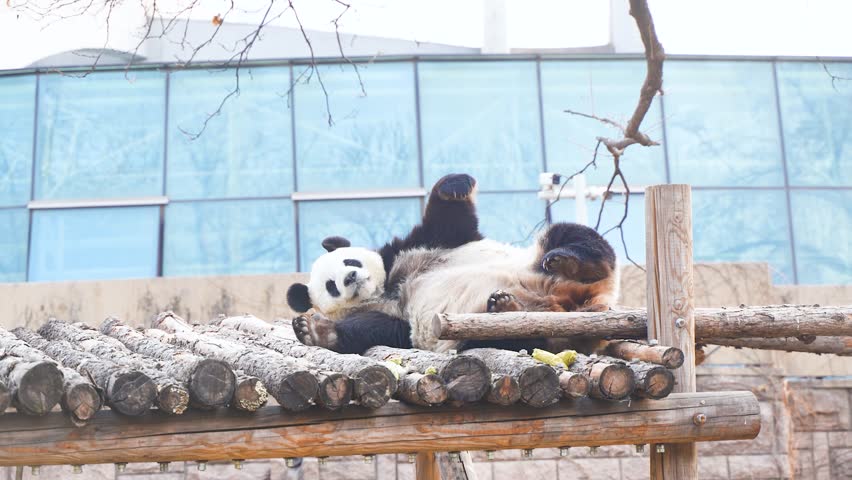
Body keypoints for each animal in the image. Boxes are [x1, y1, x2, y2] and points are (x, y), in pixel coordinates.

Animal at [287, 173, 619, 355]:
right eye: (331, 285)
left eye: (350, 260)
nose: (352, 277)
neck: (386, 289)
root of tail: (570, 304)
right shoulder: (396, 318)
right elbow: (380, 330)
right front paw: (316, 330)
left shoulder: (414, 248)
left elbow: (449, 223)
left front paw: (454, 186)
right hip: (484, 332)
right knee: (516, 339)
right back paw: (507, 308)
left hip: (539, 260)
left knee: (573, 237)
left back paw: (569, 262)